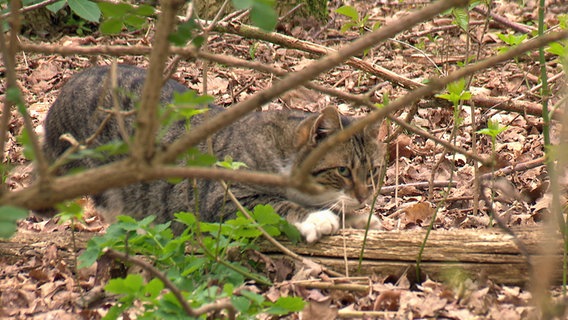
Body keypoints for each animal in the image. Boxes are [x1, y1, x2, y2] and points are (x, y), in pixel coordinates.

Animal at [42, 66, 384, 244]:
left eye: (373, 171)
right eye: (342, 171)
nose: (365, 195)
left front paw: (361, 218)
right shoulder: (221, 199)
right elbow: (273, 205)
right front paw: (318, 217)